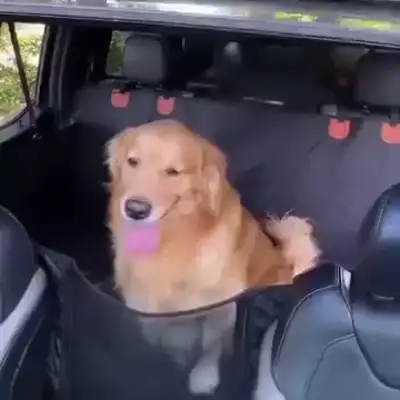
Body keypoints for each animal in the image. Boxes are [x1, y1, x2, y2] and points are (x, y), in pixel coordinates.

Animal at [106, 119, 320, 395]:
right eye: (133, 161)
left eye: (173, 172)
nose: (135, 209)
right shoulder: (143, 306)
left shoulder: (221, 305)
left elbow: (211, 345)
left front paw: (203, 377)